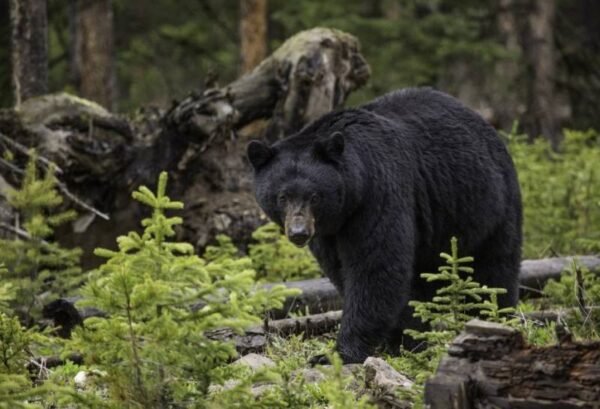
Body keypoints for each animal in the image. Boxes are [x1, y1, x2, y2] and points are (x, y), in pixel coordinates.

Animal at [246, 87, 524, 362]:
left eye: (314, 196)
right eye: (282, 196)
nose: (299, 233)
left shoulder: (379, 193)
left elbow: (376, 266)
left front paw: (339, 352)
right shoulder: (329, 232)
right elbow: (342, 269)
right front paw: (402, 339)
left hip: (489, 205)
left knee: (494, 270)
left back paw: (493, 318)